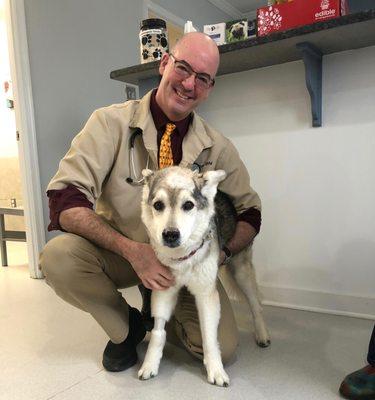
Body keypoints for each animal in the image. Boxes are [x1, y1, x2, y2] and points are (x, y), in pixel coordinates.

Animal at [138, 166, 270, 388]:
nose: (170, 234)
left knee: (256, 306)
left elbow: (209, 336)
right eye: (158, 205)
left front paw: (216, 370)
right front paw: (150, 364)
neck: (182, 259)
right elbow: (158, 331)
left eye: (188, 205)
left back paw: (262, 335)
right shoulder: (164, 290)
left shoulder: (206, 296)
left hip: (241, 272)